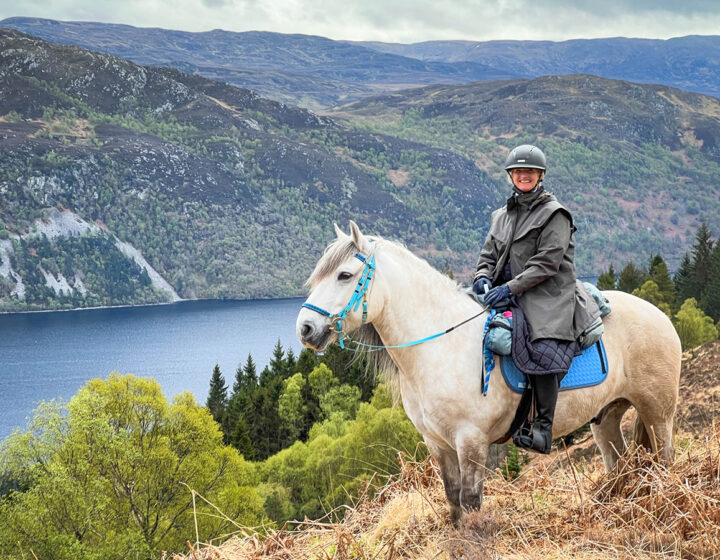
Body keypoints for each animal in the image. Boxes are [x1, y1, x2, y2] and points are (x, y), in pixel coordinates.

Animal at [296, 221, 684, 524]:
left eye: (345, 275)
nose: (305, 329)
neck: (442, 346)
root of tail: (659, 314)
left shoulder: (471, 441)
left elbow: (471, 501)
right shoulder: (437, 444)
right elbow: (452, 499)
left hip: (658, 412)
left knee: (665, 457)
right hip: (605, 417)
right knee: (618, 464)